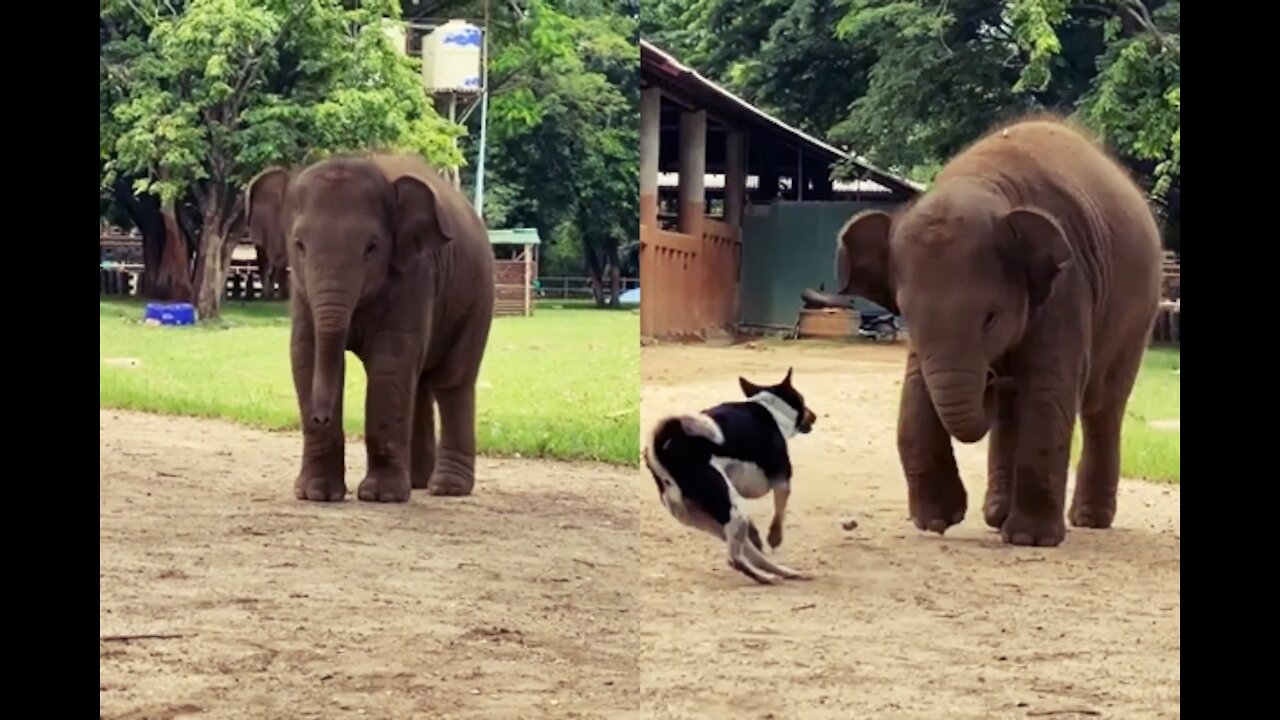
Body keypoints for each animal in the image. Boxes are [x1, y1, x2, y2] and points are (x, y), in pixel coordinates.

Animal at [248, 152, 494, 499]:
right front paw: (315, 494)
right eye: (299, 244)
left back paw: (446, 488)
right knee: (420, 383)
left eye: (372, 247)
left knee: (453, 381)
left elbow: (389, 362)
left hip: (478, 297)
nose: (320, 416)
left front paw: (382, 496)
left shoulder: (413, 275)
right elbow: (306, 356)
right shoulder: (302, 290)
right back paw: (418, 482)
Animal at [645, 366, 814, 579]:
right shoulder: (782, 480)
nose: (814, 416)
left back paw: (784, 572)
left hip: (714, 518)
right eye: (803, 400)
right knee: (736, 559)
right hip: (732, 511)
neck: (770, 408)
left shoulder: (736, 488)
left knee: (750, 553)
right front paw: (774, 537)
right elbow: (779, 513)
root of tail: (663, 453)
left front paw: (759, 536)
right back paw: (767, 577)